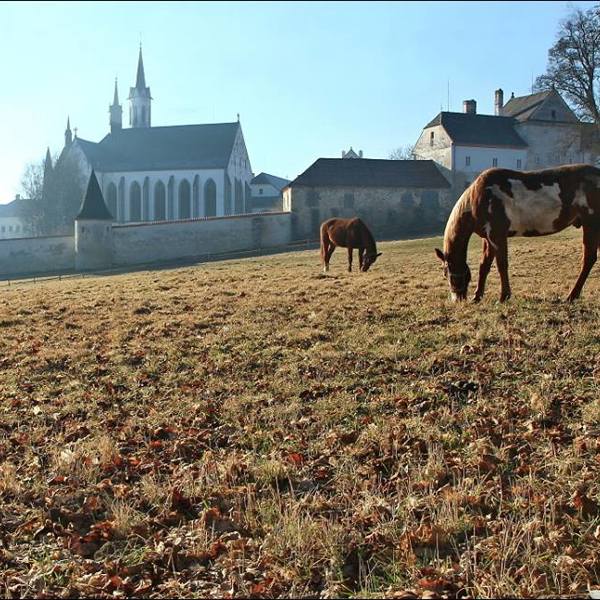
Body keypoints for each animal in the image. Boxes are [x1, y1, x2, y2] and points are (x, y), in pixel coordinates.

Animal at [434, 164, 600, 302]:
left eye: (445, 273)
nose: (457, 299)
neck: (479, 197)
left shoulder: (497, 235)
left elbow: (501, 265)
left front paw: (504, 297)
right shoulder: (487, 238)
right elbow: (484, 266)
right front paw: (477, 297)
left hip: (591, 224)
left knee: (588, 259)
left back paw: (572, 295)